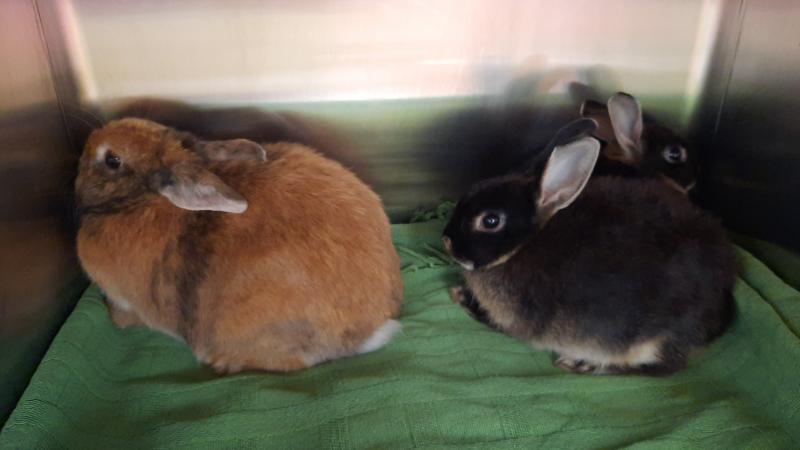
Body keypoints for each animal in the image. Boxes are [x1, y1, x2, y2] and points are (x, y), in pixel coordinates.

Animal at [442, 134, 736, 376]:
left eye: (490, 221)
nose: (446, 240)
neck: (525, 244)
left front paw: (459, 295)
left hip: (651, 341)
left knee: (663, 368)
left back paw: (583, 365)